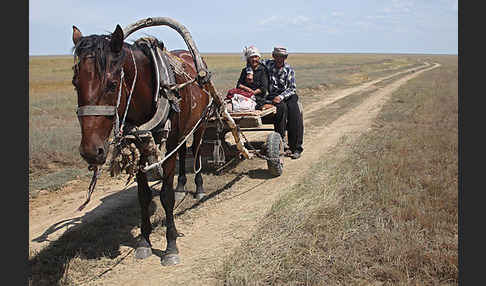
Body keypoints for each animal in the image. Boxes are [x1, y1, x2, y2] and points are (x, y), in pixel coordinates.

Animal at [71, 22, 212, 266]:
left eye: (112, 85)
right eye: (74, 83)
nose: (91, 151)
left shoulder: (169, 143)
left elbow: (165, 196)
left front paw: (171, 245)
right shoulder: (139, 146)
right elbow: (143, 196)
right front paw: (144, 241)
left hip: (200, 124)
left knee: (195, 151)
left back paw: (199, 188)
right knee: (182, 152)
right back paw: (182, 185)